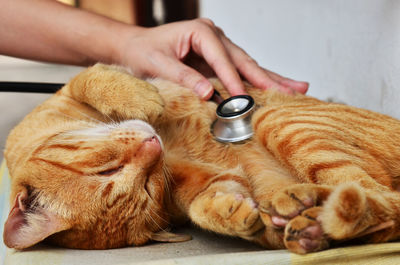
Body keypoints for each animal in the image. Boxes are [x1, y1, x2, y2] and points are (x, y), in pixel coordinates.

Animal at [3, 63, 400, 253]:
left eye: (106, 171)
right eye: (147, 189)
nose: (153, 144)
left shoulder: (77, 86)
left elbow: (90, 79)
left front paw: (141, 97)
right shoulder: (190, 181)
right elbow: (203, 201)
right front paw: (233, 212)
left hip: (276, 119)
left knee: (376, 194)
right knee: (376, 205)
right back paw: (303, 221)